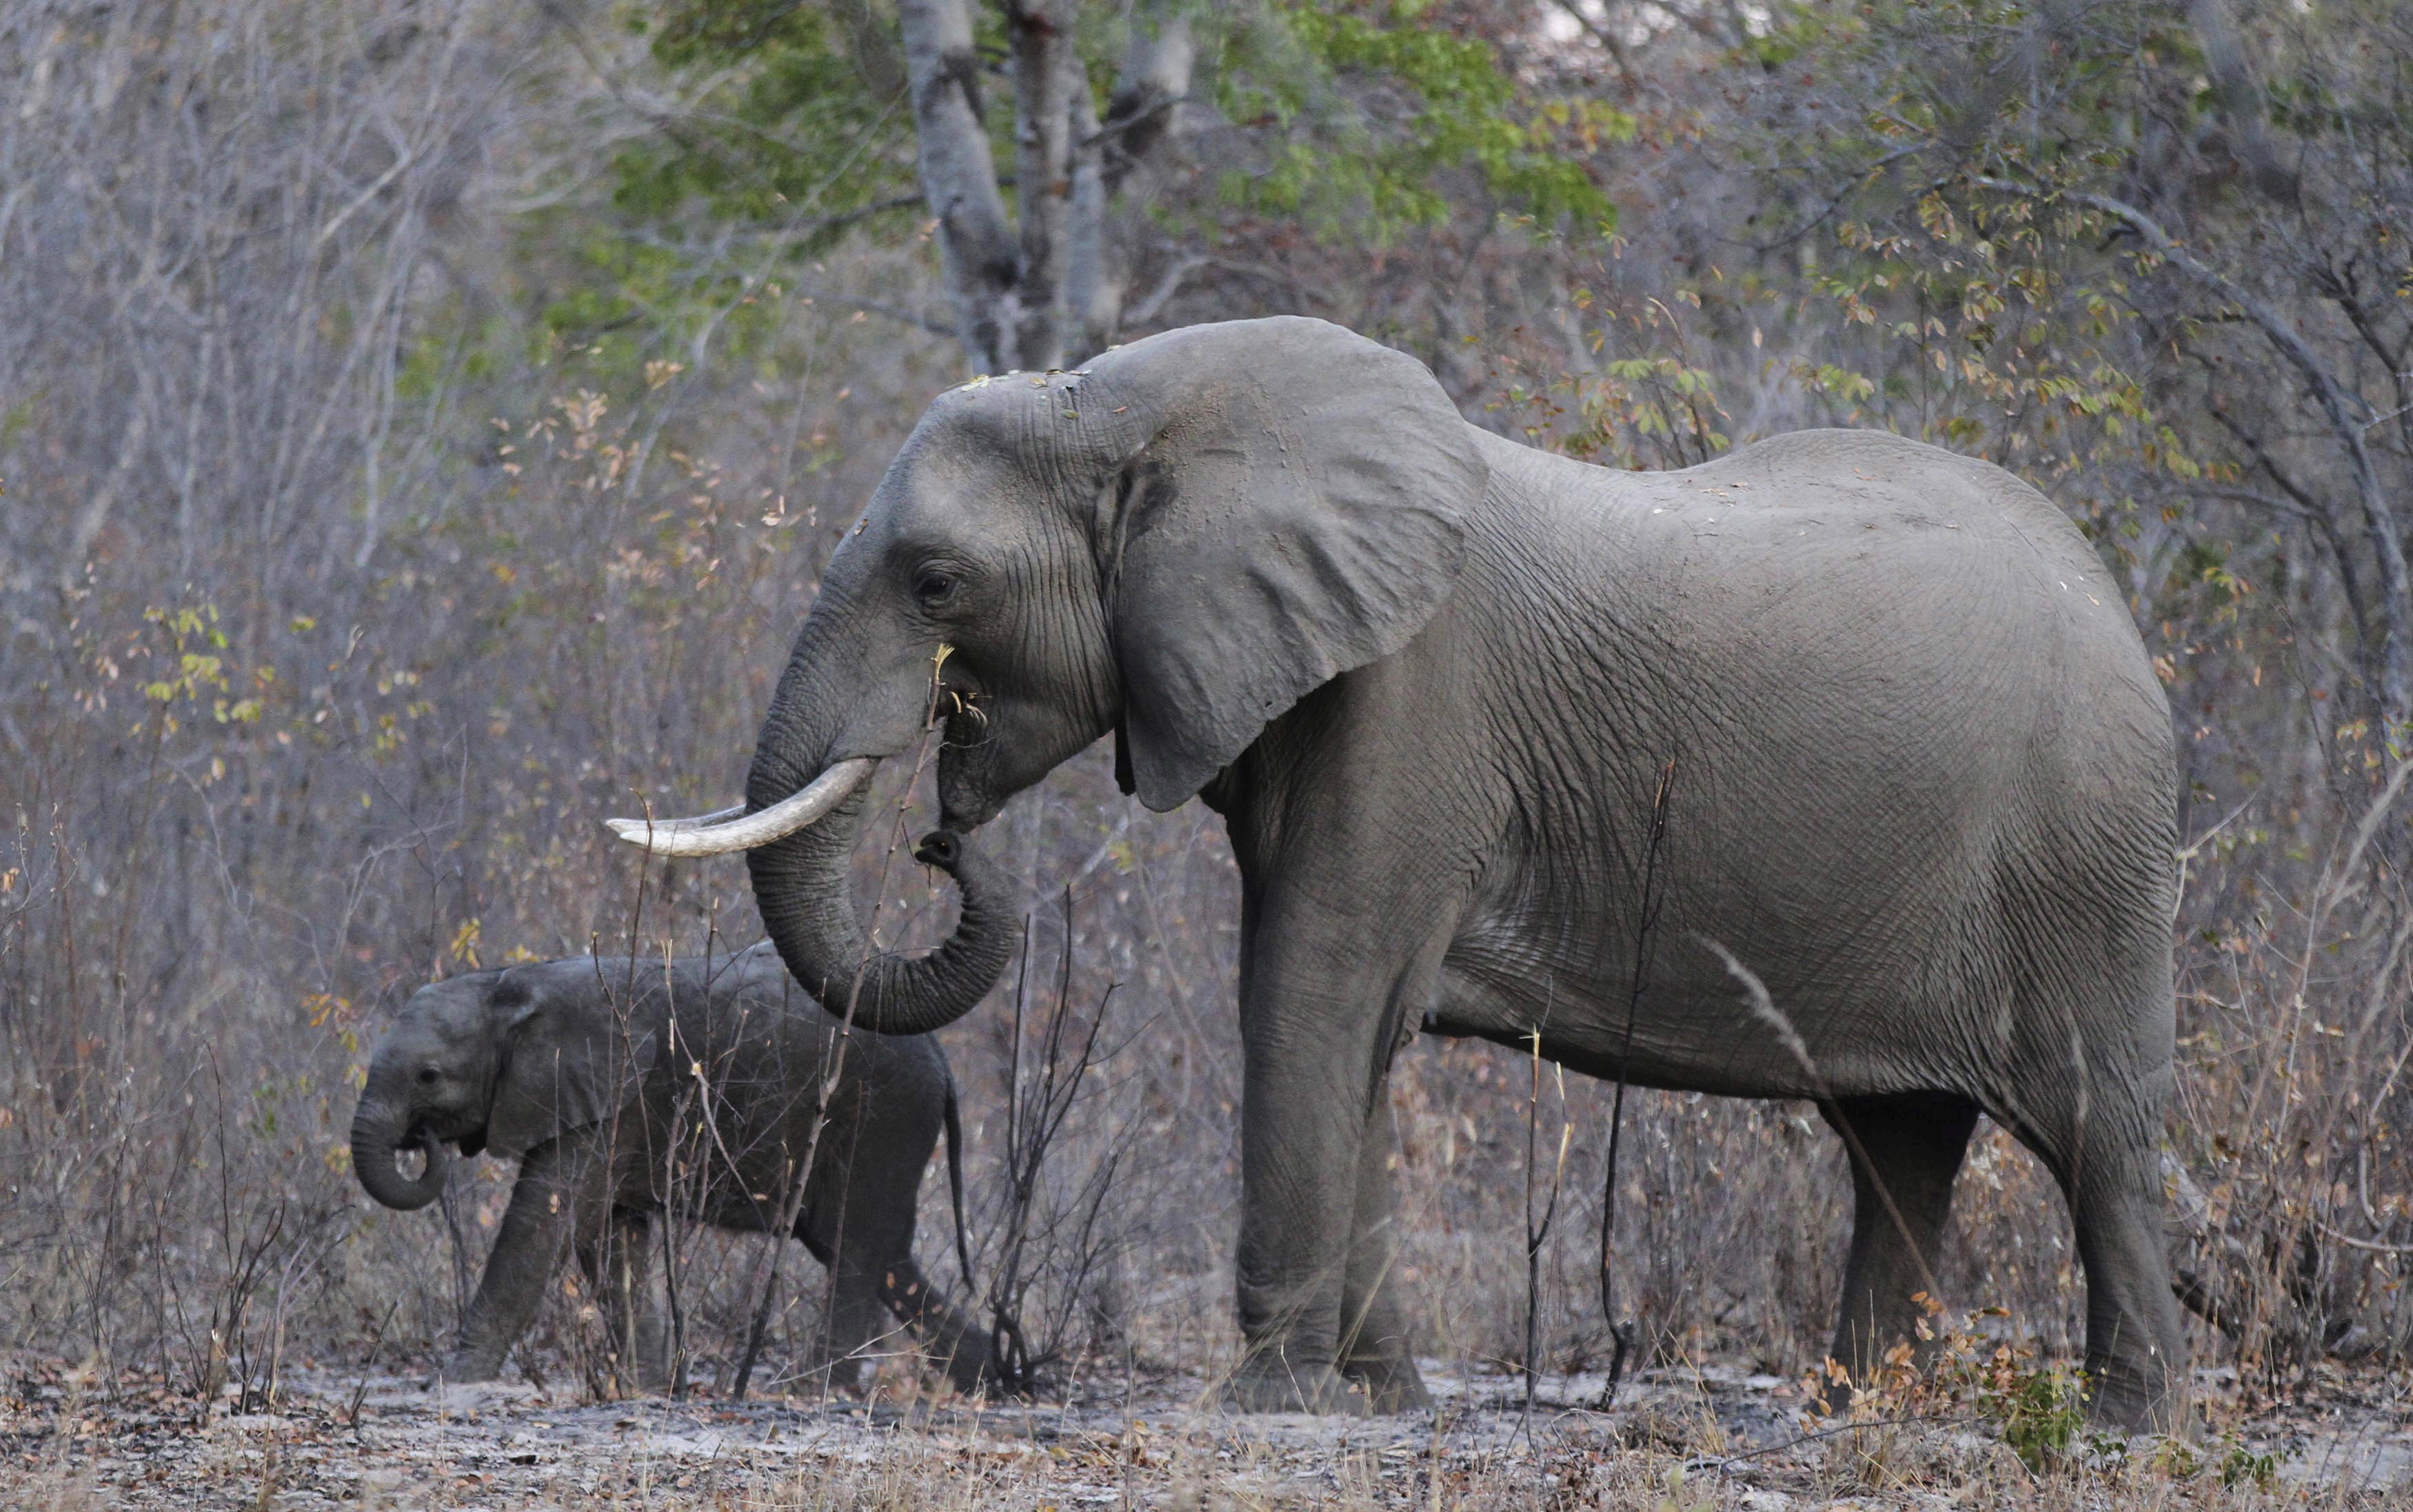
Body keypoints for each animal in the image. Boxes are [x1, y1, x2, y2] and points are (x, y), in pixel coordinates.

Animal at [350, 945, 999, 1398]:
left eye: (429, 1076)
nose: (421, 1138)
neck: (509, 984)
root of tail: (942, 1058)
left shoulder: (606, 1096)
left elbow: (542, 1224)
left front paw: (453, 1380)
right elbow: (610, 1235)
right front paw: (648, 1386)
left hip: (880, 1118)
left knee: (856, 1250)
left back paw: (816, 1390)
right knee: (886, 1260)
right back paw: (993, 1382)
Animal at [618, 316, 2191, 1427]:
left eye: (938, 583)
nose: (943, 829)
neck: (1131, 402)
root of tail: (2117, 595)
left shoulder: (1416, 696)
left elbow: (1310, 987)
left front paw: (1265, 1403)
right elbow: (1339, 1013)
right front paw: (1383, 1400)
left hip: (2087, 849)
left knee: (2094, 1126)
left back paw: (2124, 1421)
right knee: (1901, 1140)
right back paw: (1859, 1407)